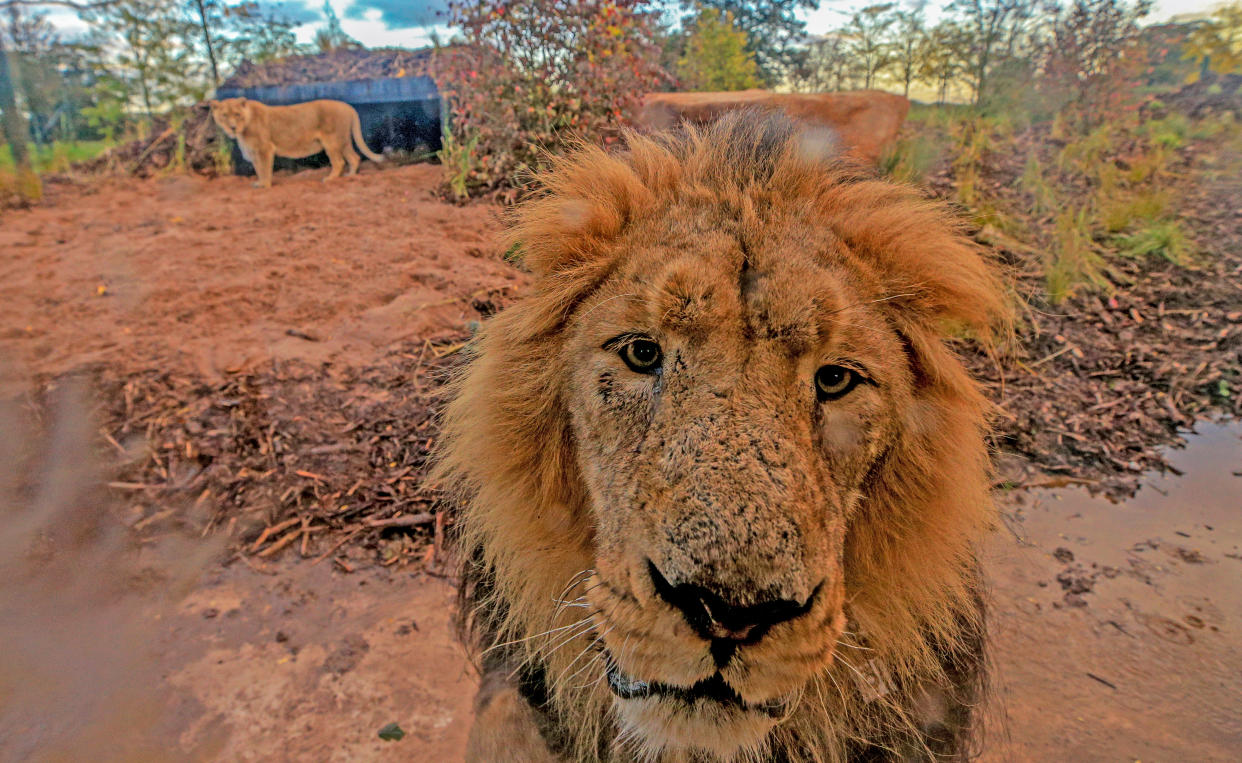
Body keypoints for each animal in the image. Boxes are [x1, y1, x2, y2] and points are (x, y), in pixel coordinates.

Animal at [204, 98, 382, 188]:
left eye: (237, 114)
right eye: (224, 115)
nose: (232, 127)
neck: (243, 129)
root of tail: (349, 106)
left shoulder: (265, 149)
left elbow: (264, 169)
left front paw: (265, 185)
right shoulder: (254, 152)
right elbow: (258, 169)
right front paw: (259, 183)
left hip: (332, 141)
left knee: (339, 162)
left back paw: (330, 179)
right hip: (343, 141)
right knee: (354, 158)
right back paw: (350, 176)